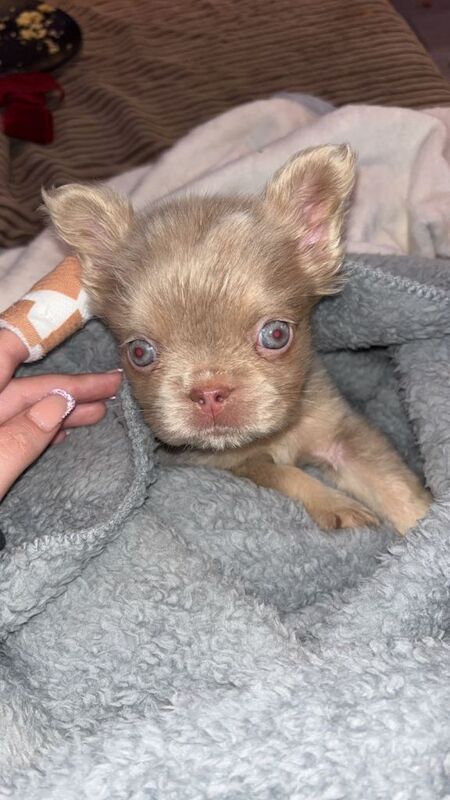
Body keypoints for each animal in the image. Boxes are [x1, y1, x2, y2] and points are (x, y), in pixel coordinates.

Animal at [44, 144, 432, 533]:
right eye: (140, 352)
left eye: (276, 334)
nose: (209, 392)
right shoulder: (233, 466)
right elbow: (286, 474)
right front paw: (338, 505)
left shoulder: (339, 434)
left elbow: (389, 481)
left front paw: (425, 521)